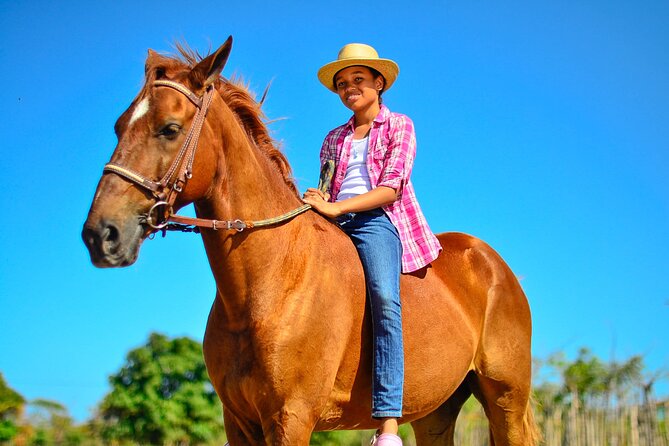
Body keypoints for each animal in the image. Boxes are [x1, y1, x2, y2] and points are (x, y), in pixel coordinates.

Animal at [82, 37, 540, 445]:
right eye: (119, 126)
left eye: (170, 129)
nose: (100, 235)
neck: (270, 280)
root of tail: (493, 264)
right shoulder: (239, 423)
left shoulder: (291, 417)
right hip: (435, 412)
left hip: (506, 400)